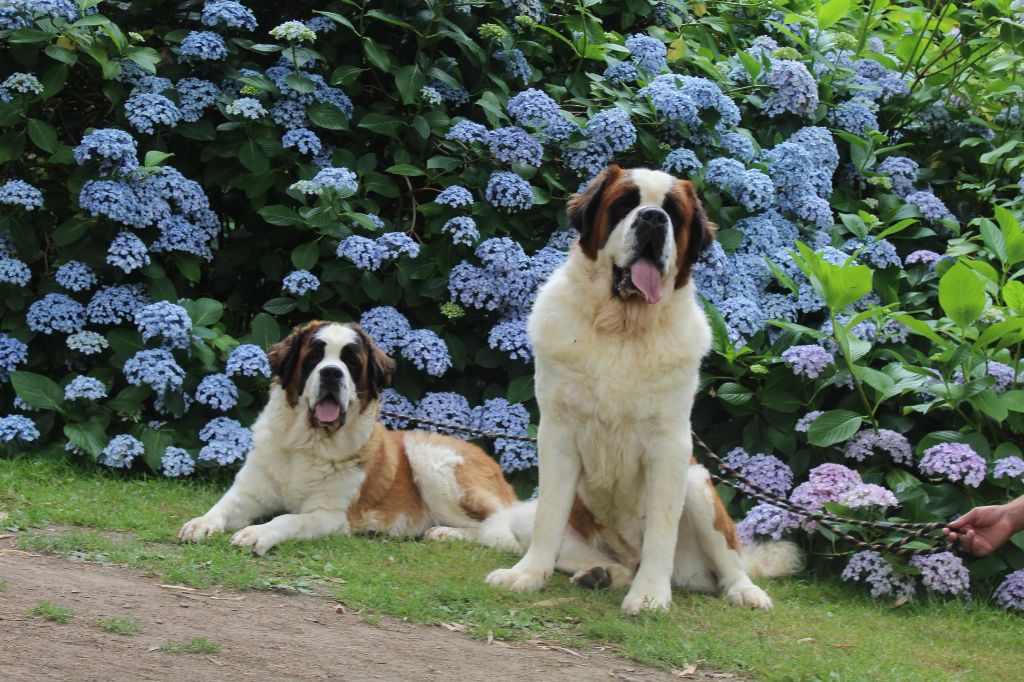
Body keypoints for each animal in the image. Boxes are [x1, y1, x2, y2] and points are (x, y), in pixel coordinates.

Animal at [179, 321, 516, 557]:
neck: (307, 443)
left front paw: (258, 533)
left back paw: (446, 534)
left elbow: (288, 518)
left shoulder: (331, 516)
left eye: (351, 362)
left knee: (503, 535)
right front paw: (200, 523)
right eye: (314, 357)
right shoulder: (249, 492)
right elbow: (223, 506)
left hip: (430, 460)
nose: (331, 373)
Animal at [477, 164, 798, 610]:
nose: (652, 218)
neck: (623, 327)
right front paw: (526, 575)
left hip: (698, 484)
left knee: (729, 563)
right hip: (524, 515)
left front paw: (650, 595)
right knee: (588, 547)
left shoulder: (671, 446)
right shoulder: (556, 434)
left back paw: (745, 591)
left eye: (673, 213)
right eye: (625, 204)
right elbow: (549, 520)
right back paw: (600, 573)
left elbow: (661, 530)